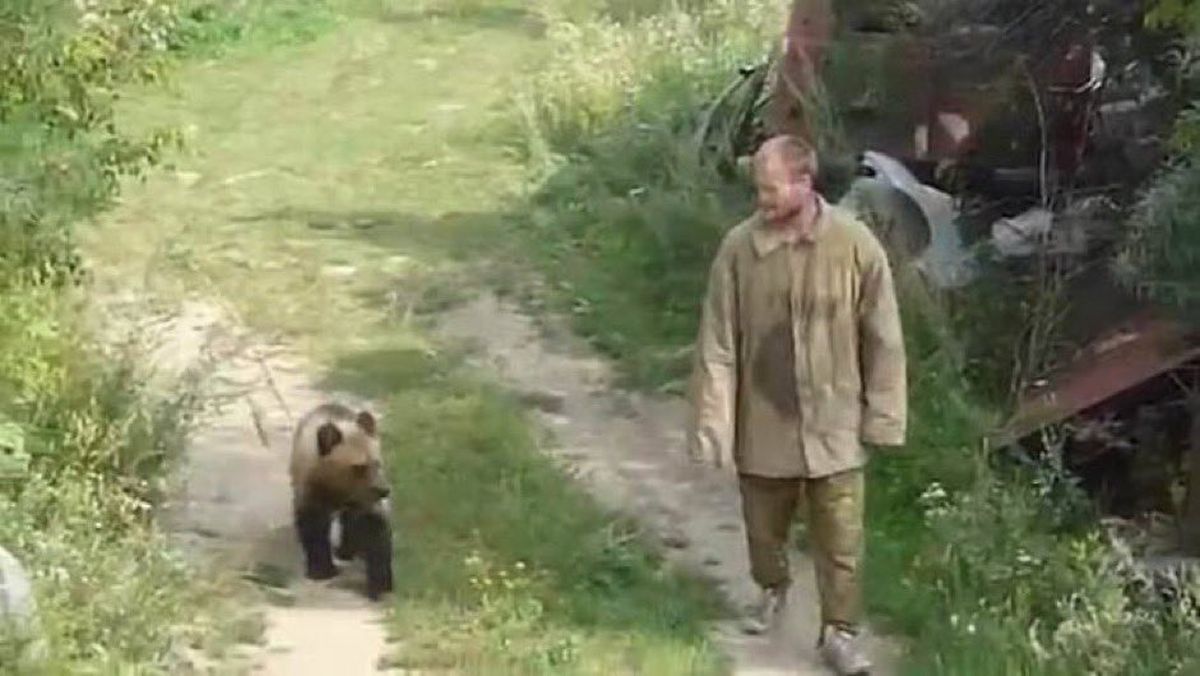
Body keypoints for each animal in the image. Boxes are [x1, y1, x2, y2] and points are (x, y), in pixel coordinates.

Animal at [288, 402, 394, 601]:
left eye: (377, 462)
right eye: (359, 467)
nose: (384, 490)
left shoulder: (365, 501)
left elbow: (375, 530)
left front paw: (381, 583)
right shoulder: (312, 492)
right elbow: (313, 527)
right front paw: (321, 570)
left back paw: (346, 551)